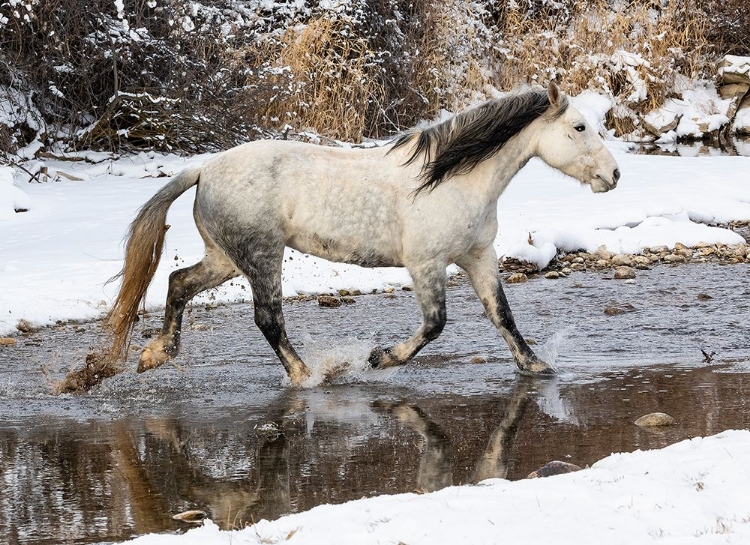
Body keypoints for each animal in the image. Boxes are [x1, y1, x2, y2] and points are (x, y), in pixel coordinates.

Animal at [106, 83, 624, 384]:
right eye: (579, 126)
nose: (614, 175)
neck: (450, 179)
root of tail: (204, 169)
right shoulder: (426, 264)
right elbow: (435, 324)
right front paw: (381, 358)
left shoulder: (478, 255)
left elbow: (502, 315)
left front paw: (535, 365)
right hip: (261, 257)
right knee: (268, 319)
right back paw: (308, 375)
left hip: (226, 258)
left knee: (179, 283)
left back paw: (155, 355)